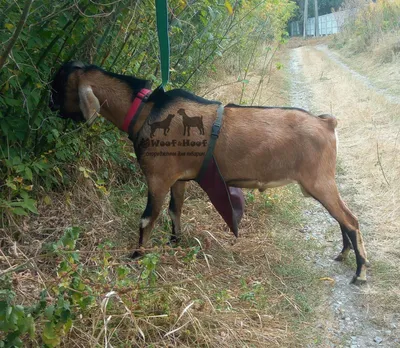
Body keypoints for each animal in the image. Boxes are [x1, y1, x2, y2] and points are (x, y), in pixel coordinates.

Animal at [49, 61, 368, 286]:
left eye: (58, 85)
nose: (52, 109)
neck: (146, 111)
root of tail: (326, 123)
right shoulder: (178, 178)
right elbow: (175, 211)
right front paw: (174, 242)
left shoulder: (157, 178)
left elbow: (147, 218)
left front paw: (137, 255)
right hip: (319, 183)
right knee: (341, 218)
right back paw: (343, 254)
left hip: (319, 180)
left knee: (350, 220)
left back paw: (360, 273)